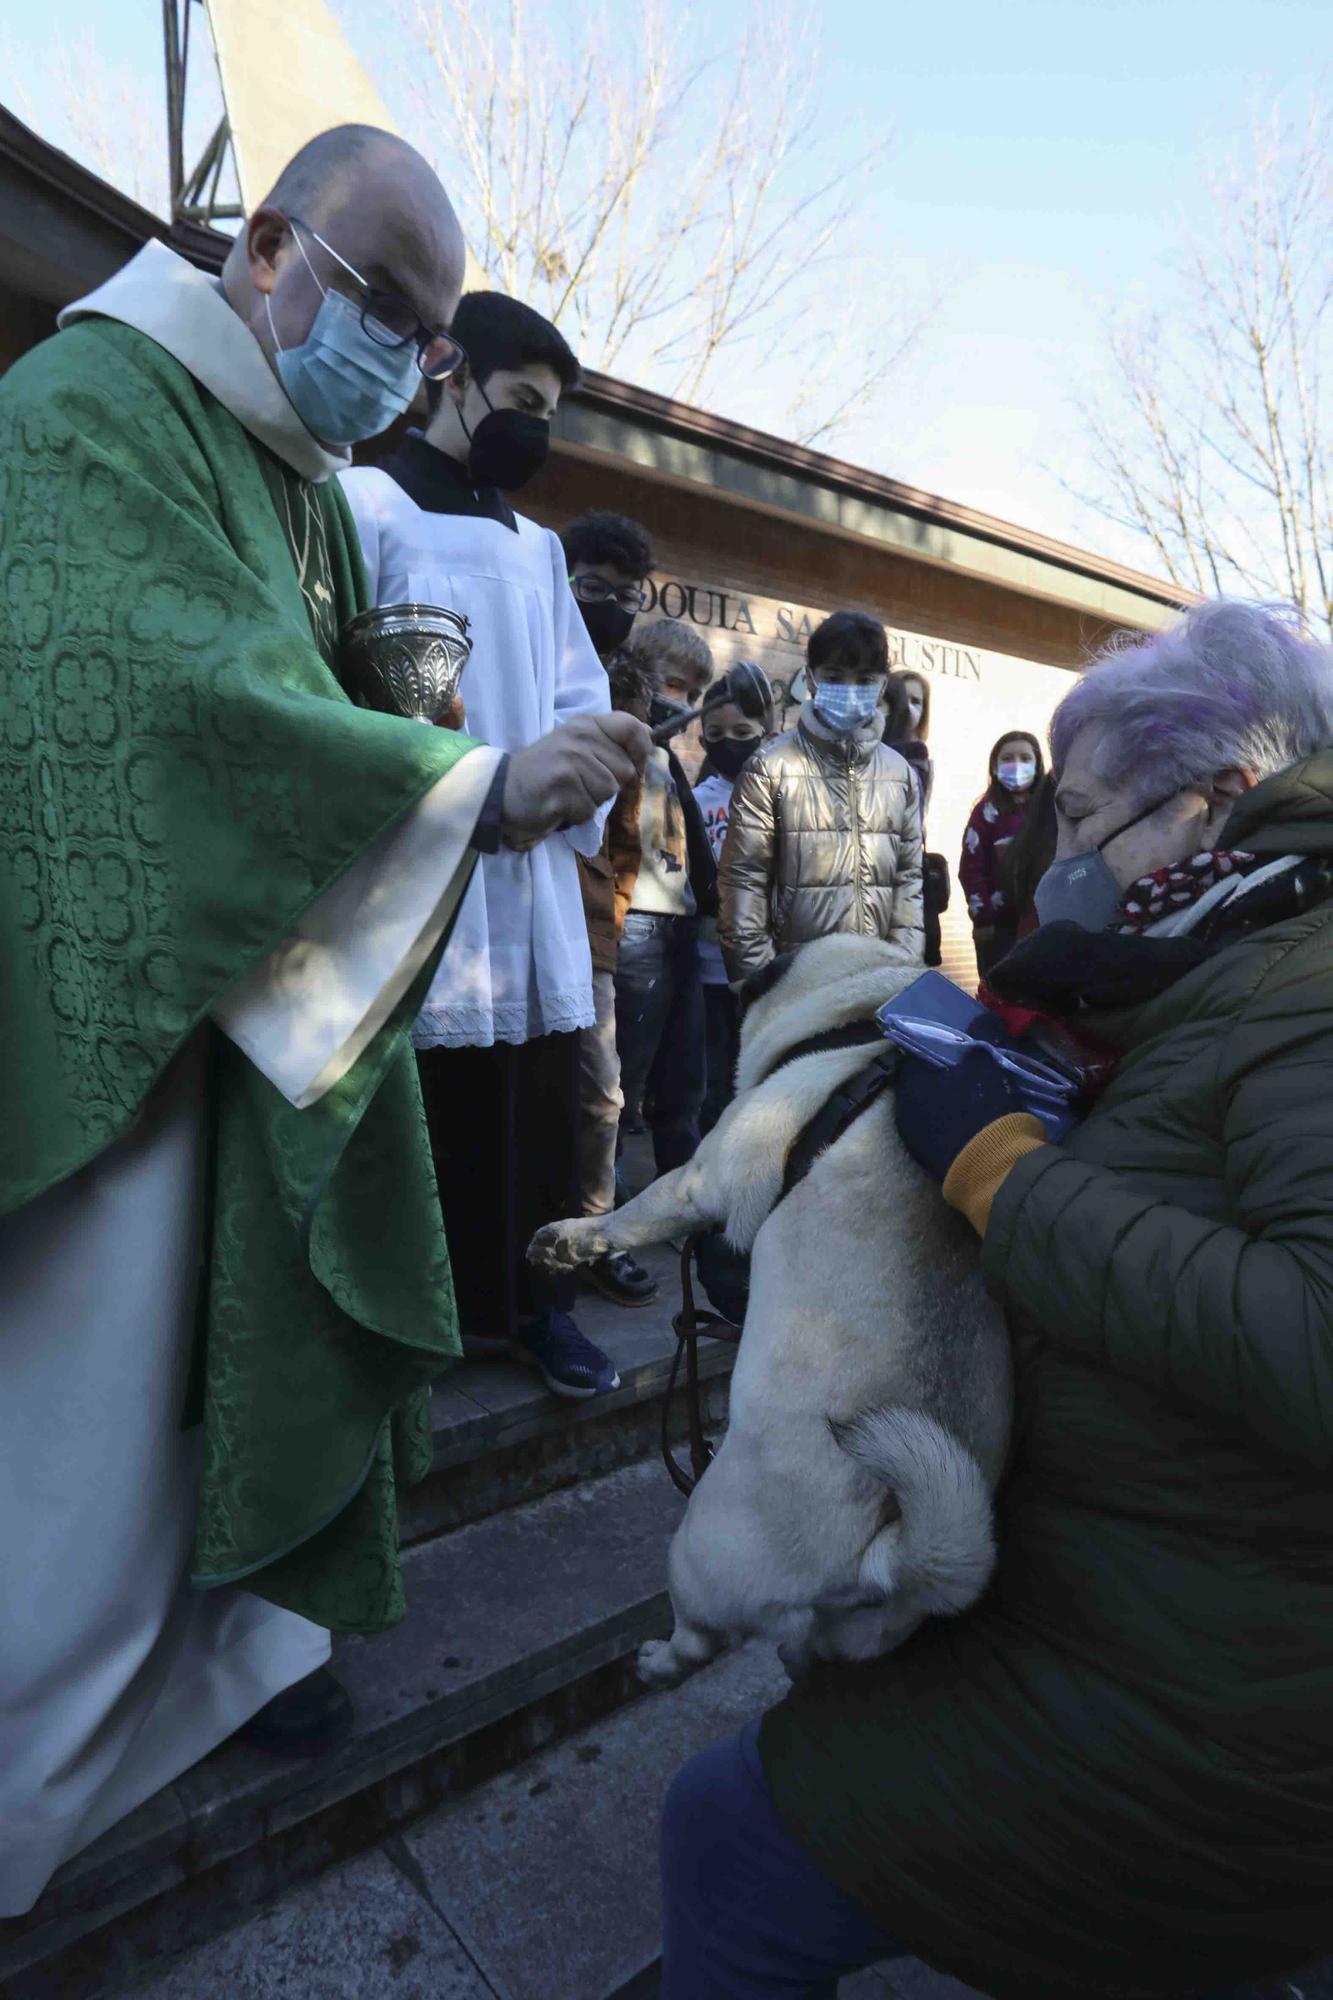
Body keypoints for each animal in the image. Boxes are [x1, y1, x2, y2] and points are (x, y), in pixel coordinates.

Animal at [528, 936, 1008, 1688]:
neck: (866, 1014)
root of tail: (889, 1554)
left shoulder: (702, 1178)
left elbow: (634, 1216)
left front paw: (567, 1240)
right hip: (862, 1629)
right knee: (815, 1648)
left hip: (699, 1544)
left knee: (698, 1640)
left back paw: (657, 1661)